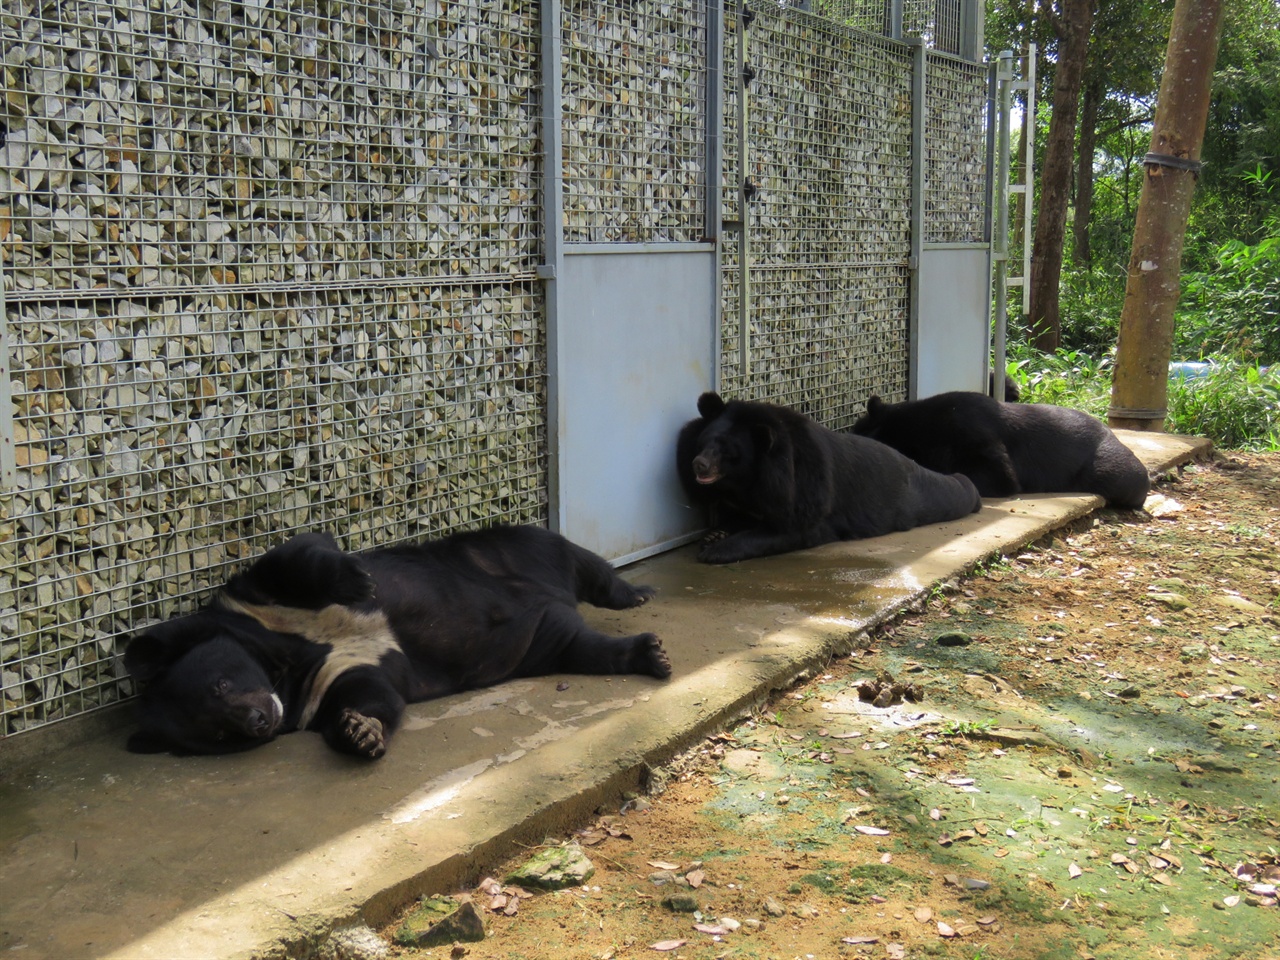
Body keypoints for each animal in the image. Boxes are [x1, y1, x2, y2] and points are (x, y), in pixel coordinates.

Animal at [124, 522, 675, 762]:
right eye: (220, 735)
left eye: (220, 684)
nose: (259, 720)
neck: (285, 667)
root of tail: (554, 599)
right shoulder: (328, 681)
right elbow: (372, 694)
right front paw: (359, 732)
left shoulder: (252, 601)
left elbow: (299, 554)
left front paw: (357, 580)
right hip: (539, 642)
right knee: (582, 647)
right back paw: (649, 654)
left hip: (511, 545)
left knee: (586, 563)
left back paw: (635, 595)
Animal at [675, 394, 983, 568]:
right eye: (704, 442)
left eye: (728, 452)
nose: (698, 464)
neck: (749, 479)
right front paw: (715, 535)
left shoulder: (805, 490)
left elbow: (789, 530)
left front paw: (716, 551)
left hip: (916, 495)